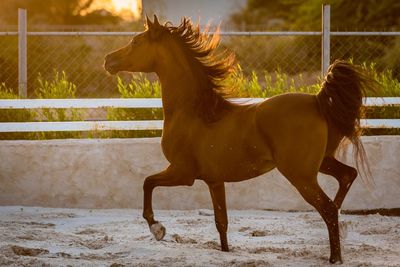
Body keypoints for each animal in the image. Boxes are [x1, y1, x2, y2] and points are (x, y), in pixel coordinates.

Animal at [103, 15, 378, 266]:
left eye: (136, 41)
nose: (108, 60)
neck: (194, 112)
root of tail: (318, 101)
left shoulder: (182, 173)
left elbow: (147, 183)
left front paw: (157, 229)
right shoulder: (214, 181)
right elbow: (221, 222)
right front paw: (225, 252)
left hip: (301, 175)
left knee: (329, 208)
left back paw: (335, 257)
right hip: (321, 162)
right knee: (347, 177)